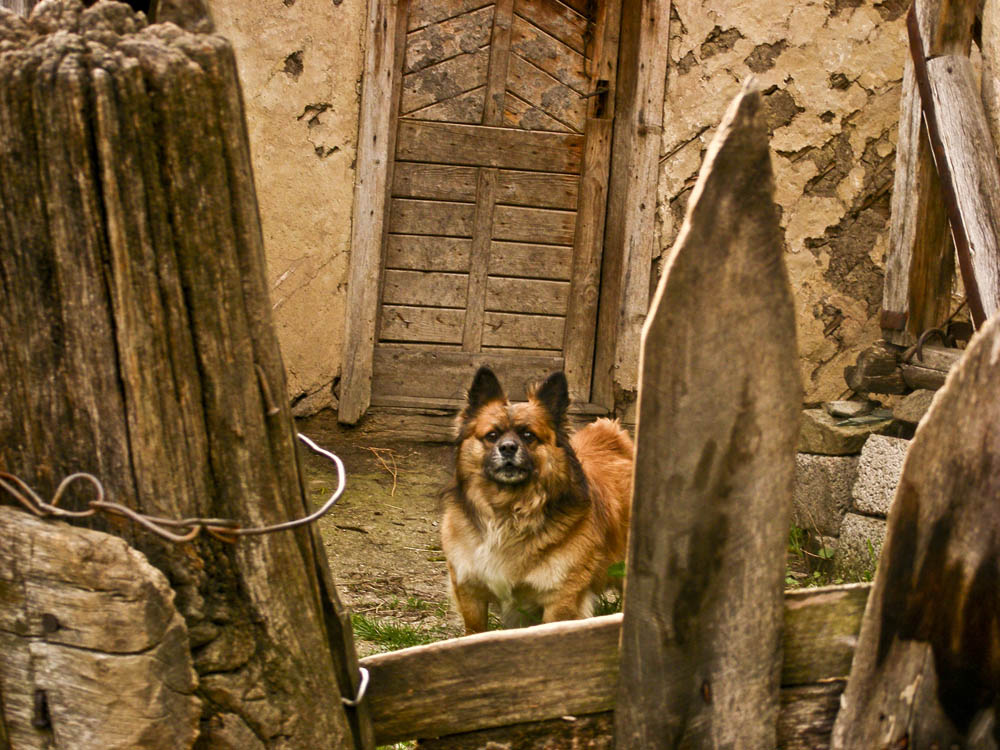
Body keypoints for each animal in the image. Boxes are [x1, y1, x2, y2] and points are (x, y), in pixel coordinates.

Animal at [440, 368, 632, 636]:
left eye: (528, 435)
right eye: (492, 435)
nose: (508, 448)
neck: (509, 512)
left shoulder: (560, 599)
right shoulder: (469, 591)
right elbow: (476, 633)